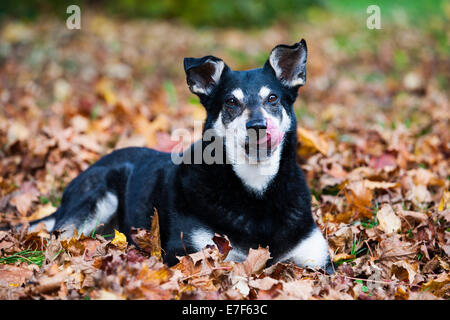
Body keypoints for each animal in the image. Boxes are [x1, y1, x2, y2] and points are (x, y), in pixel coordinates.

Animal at [27, 37, 334, 272]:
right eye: (230, 102)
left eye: (272, 99)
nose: (258, 127)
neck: (256, 186)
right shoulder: (190, 251)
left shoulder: (317, 260)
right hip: (97, 198)